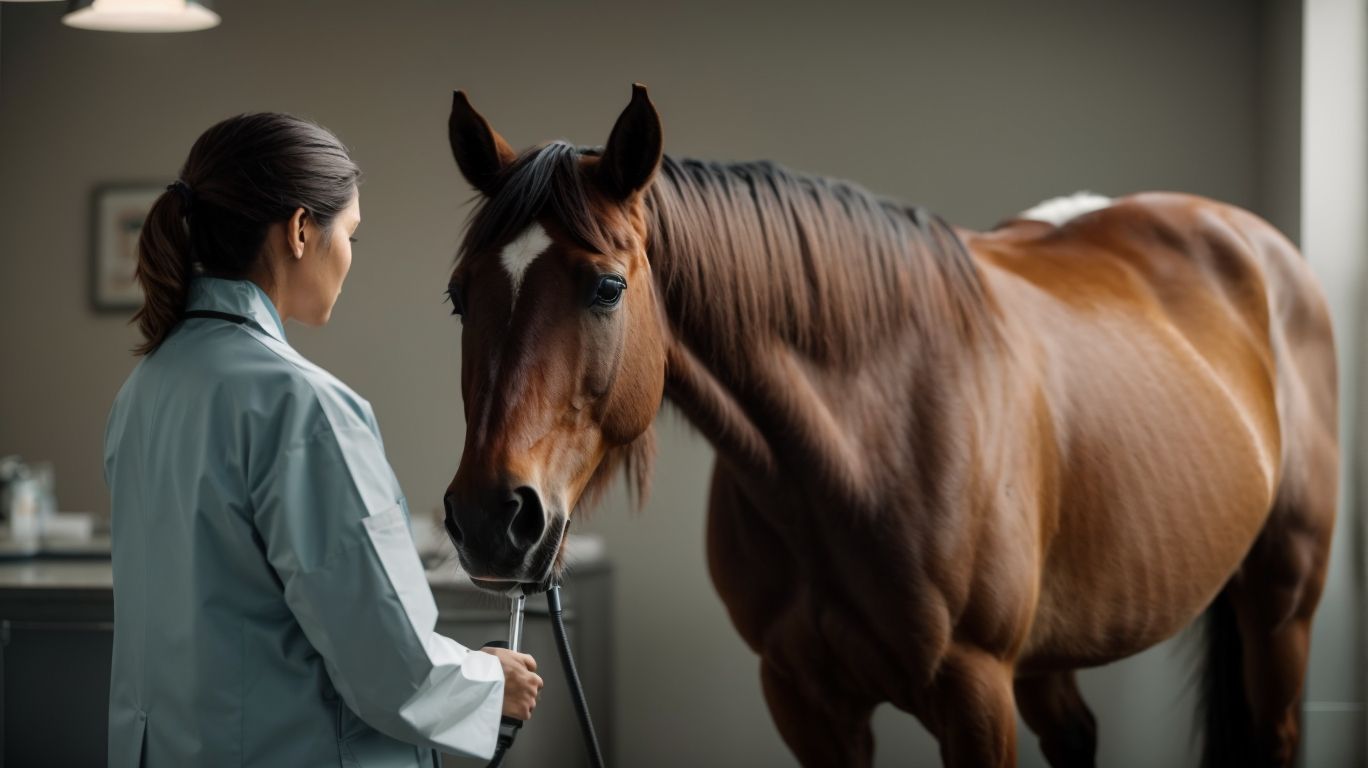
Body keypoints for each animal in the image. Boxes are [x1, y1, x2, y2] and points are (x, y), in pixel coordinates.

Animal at [439, 85, 1338, 768]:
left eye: (606, 287)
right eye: (459, 295)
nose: (489, 518)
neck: (868, 447)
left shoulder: (976, 698)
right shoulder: (806, 702)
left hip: (1281, 606)